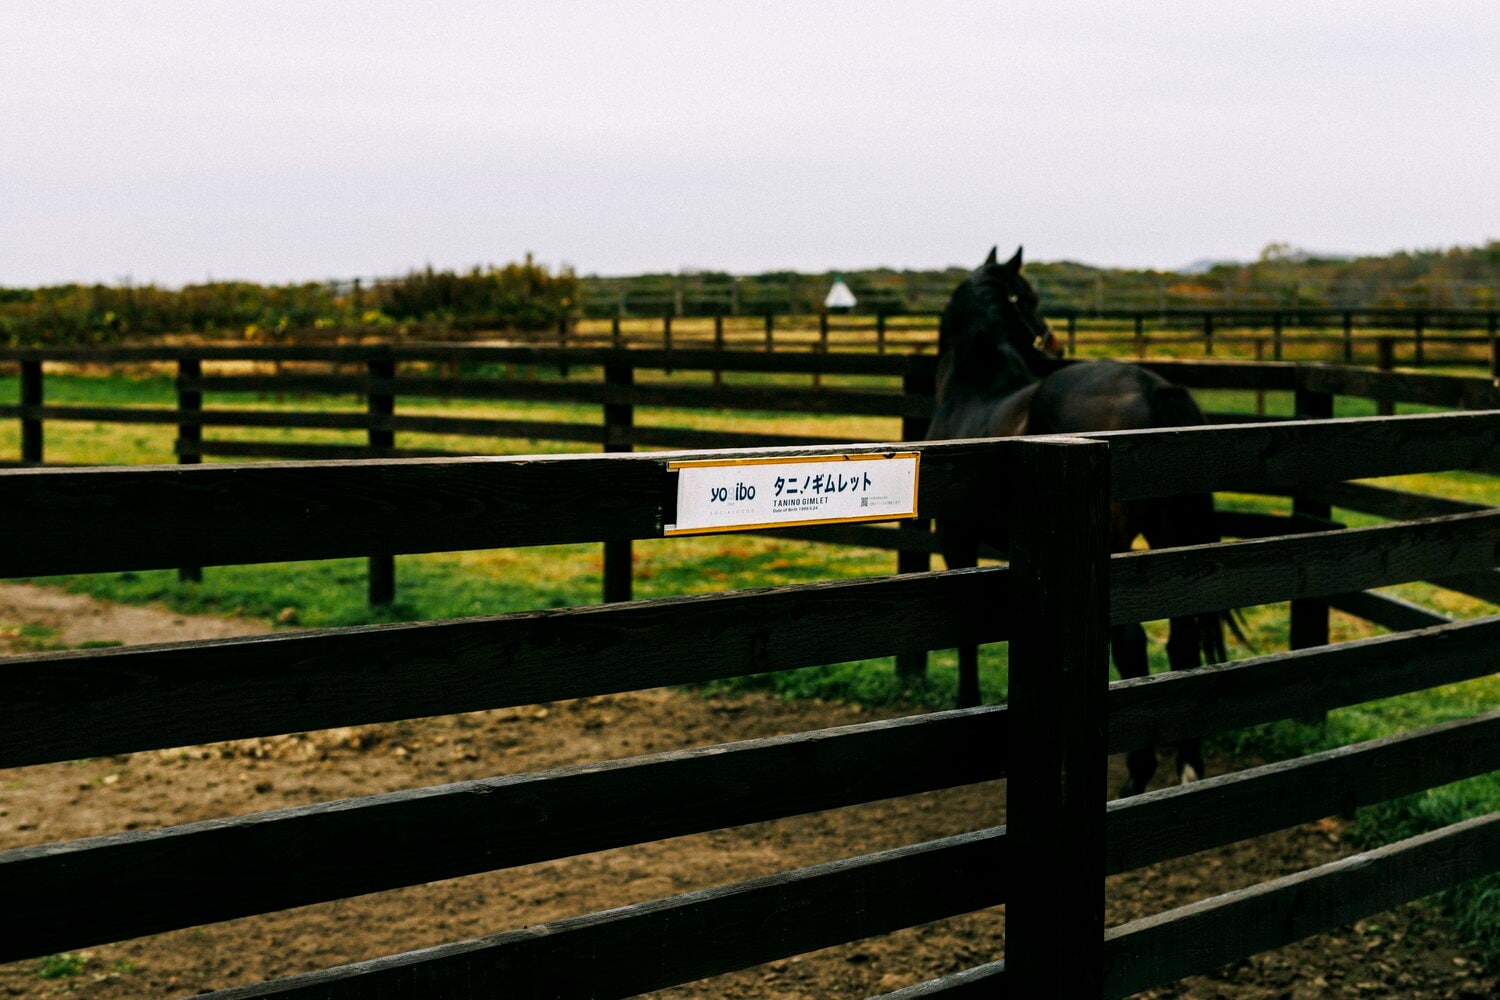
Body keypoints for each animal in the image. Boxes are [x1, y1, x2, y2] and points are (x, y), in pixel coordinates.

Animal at [924, 248, 1230, 797]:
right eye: (1030, 299)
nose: (1054, 340)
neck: (973, 391)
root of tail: (1154, 389)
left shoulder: (955, 539)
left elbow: (967, 638)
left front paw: (966, 704)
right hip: (1170, 541)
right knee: (1182, 641)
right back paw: (1186, 766)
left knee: (1130, 641)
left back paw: (1137, 774)